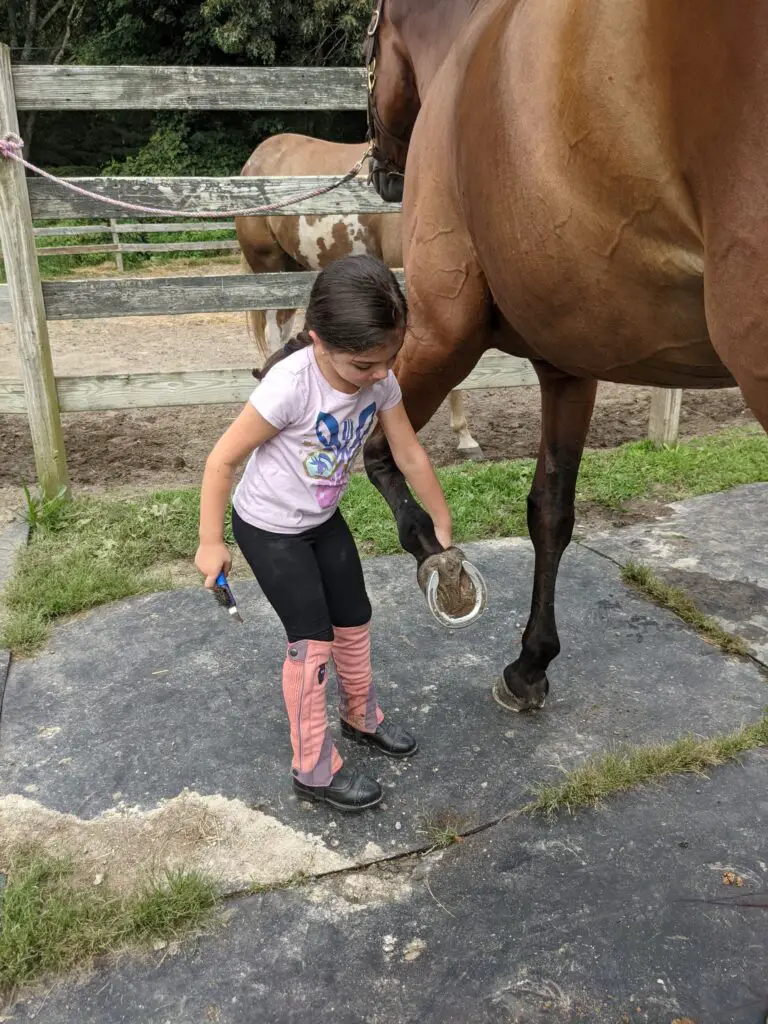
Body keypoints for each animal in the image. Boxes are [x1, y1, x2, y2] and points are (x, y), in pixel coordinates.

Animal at [360, 0, 768, 712]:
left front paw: (443, 568)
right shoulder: (568, 366)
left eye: (368, 47)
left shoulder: (441, 332)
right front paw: (531, 662)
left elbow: (380, 452)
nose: (381, 172)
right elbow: (550, 509)